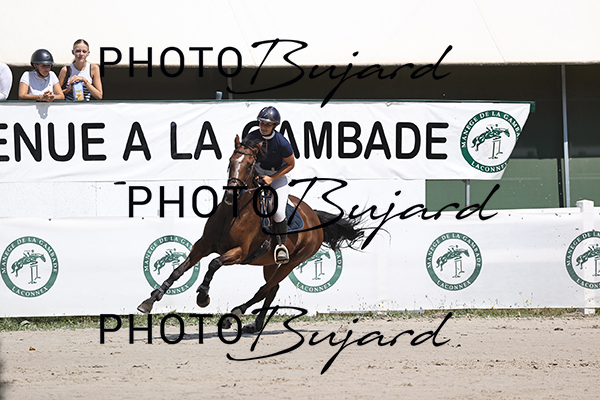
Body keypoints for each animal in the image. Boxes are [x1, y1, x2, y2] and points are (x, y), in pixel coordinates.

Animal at [138, 134, 364, 333]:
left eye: (248, 165)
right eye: (230, 162)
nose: (231, 194)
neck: (234, 213)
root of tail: (314, 216)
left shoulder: (239, 252)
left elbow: (214, 264)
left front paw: (203, 297)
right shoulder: (203, 245)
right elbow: (178, 270)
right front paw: (149, 301)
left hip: (292, 262)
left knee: (264, 289)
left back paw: (233, 315)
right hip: (270, 262)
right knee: (272, 289)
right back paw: (256, 324)